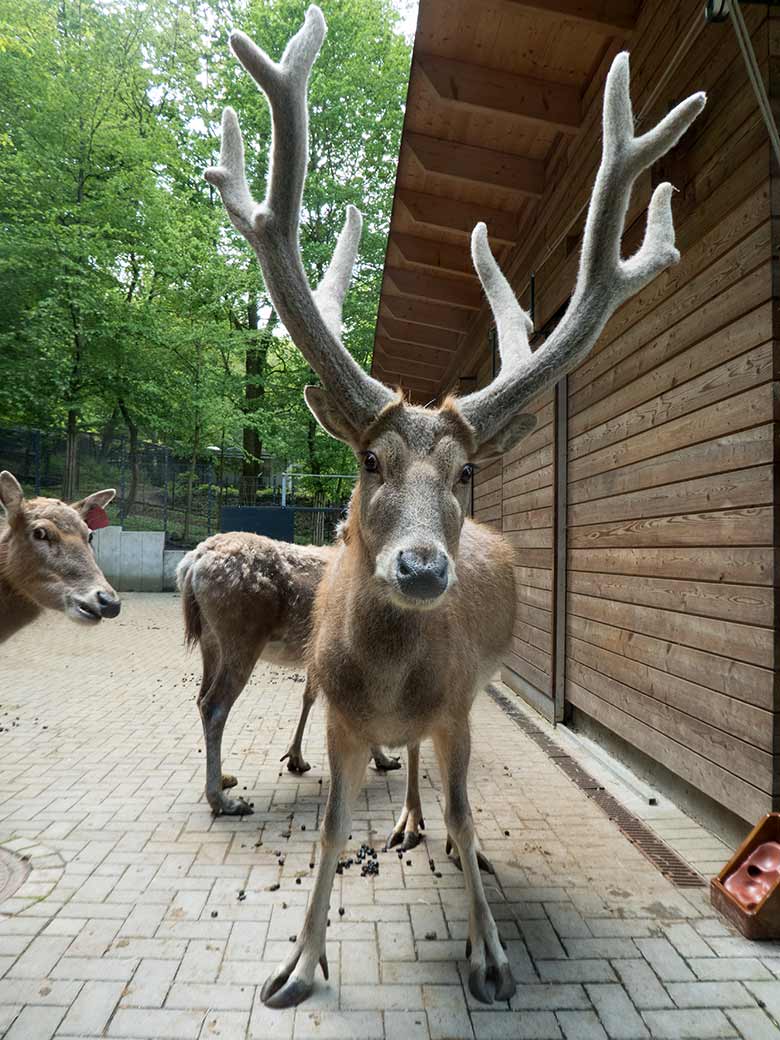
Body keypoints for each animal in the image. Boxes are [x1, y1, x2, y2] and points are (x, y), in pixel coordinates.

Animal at [204, 6, 707, 1006]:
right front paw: (298, 965)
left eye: (467, 472)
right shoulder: (341, 717)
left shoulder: (462, 711)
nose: (422, 565)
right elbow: (330, 830)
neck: (390, 687)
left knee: (434, 789)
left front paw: (492, 957)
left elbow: (471, 819)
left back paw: (416, 825)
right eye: (369, 458)